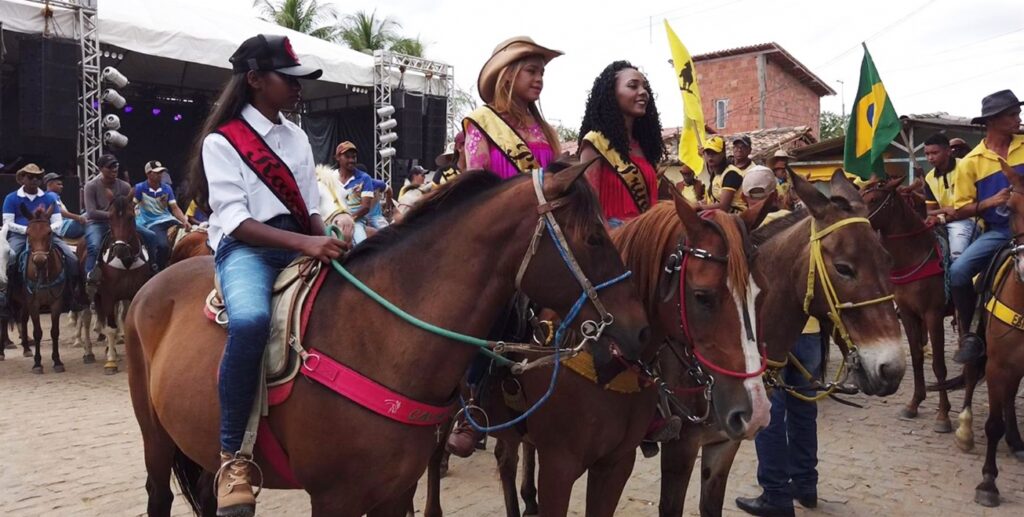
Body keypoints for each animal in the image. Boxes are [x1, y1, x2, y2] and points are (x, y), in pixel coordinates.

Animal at [121, 165, 647, 515]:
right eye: (595, 237)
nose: (638, 328)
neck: (379, 340)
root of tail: (152, 284)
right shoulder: (334, 498)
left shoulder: (396, 490)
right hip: (156, 438)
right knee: (158, 494)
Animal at [860, 177, 954, 432]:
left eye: (873, 199)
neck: (915, 257)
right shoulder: (909, 314)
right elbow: (916, 357)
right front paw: (914, 404)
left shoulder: (933, 315)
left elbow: (939, 365)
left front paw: (943, 415)